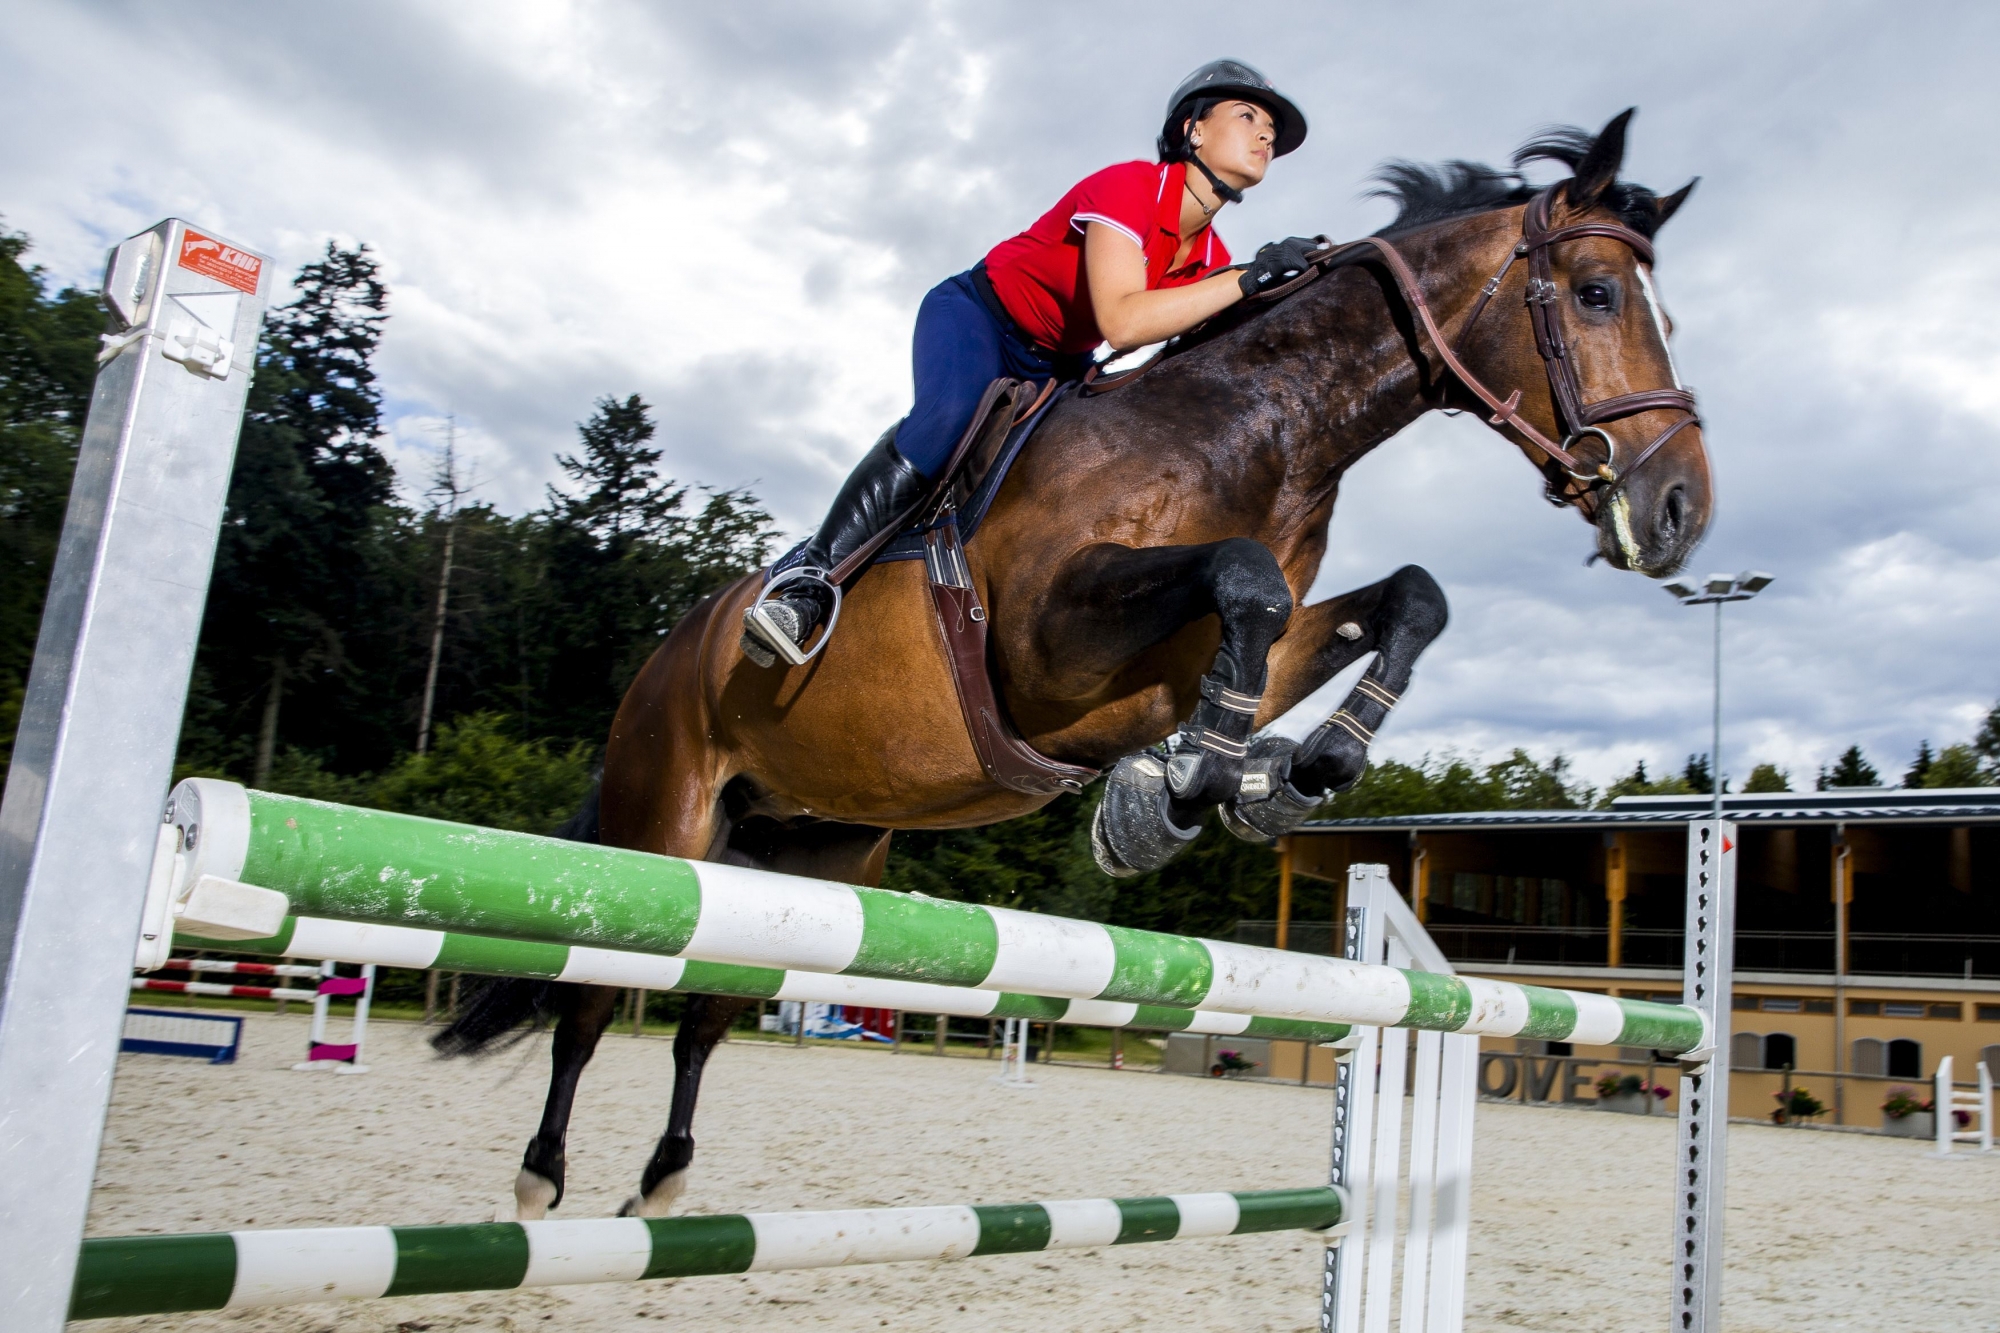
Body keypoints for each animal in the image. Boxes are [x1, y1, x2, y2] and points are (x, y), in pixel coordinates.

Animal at [438, 109, 1704, 1216]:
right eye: (1595, 294)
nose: (1679, 509)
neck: (1259, 428)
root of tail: (673, 645)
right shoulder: (1045, 641)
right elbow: (1244, 574)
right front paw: (1183, 789)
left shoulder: (1206, 651)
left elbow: (1397, 598)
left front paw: (1282, 774)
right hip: (665, 818)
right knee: (591, 1000)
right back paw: (541, 1179)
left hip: (805, 851)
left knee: (706, 1009)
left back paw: (661, 1183)